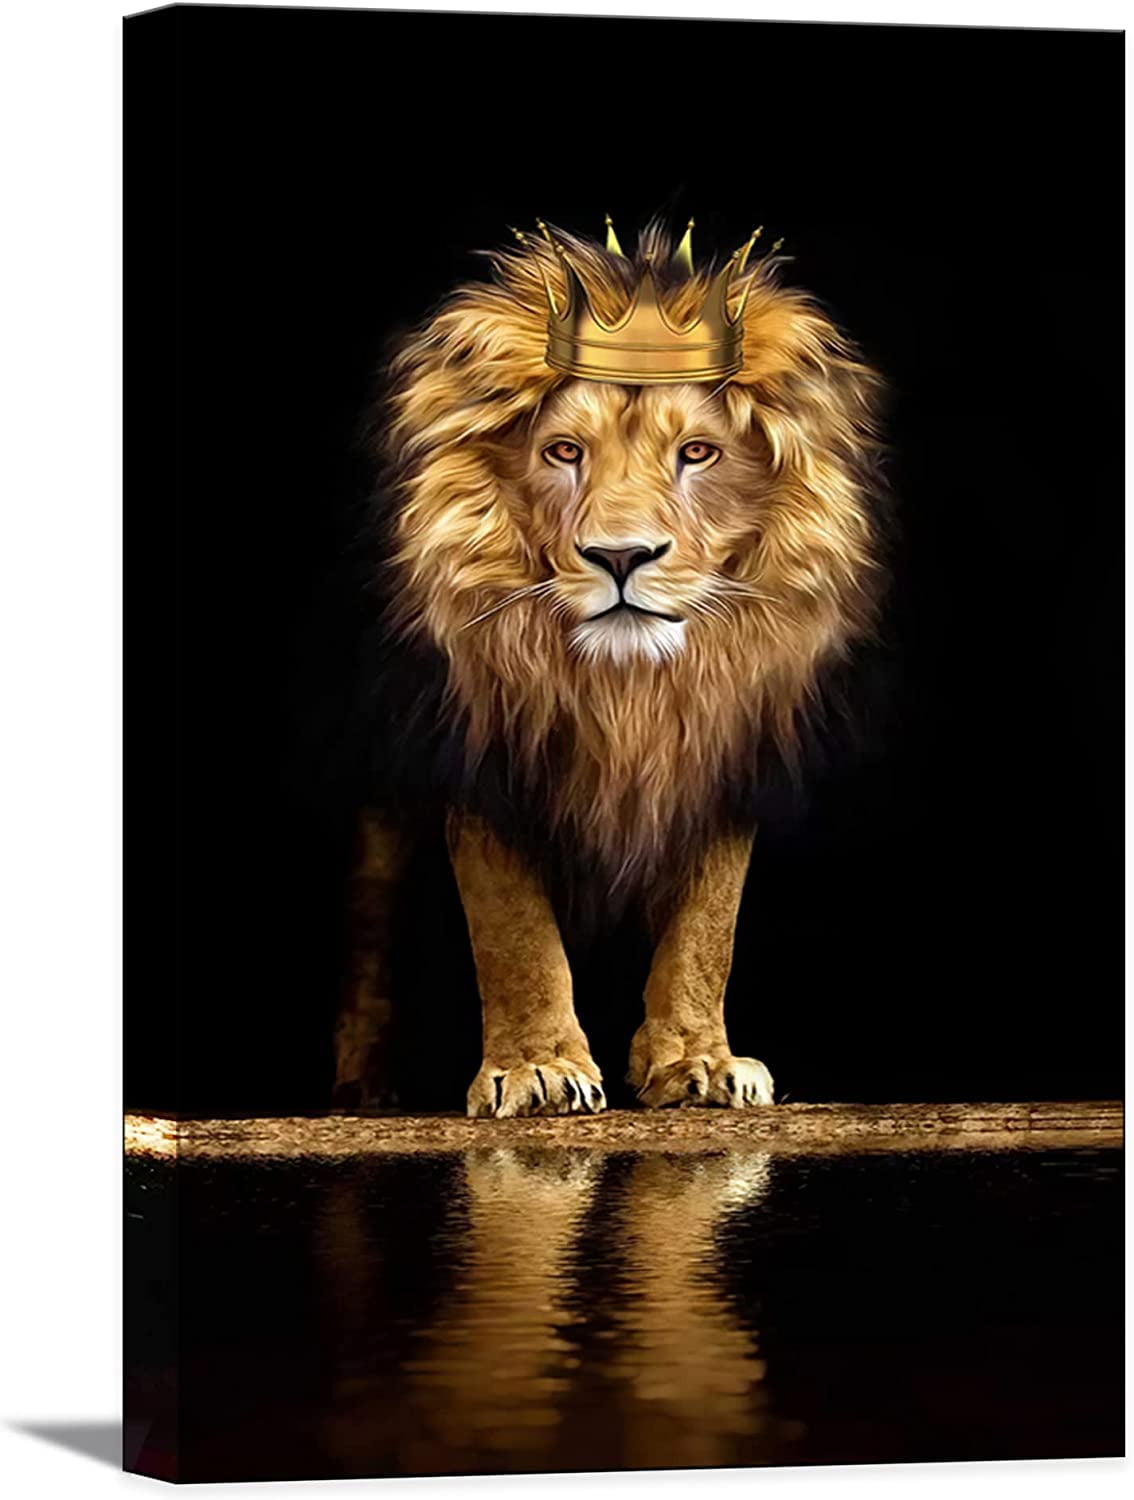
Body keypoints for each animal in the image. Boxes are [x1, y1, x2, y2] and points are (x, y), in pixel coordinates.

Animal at [333, 219, 884, 1117]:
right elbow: (512, 927)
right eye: (563, 451)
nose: (621, 557)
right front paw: (537, 1067)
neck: (627, 688)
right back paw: (362, 1089)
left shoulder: (723, 748)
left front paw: (698, 1061)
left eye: (697, 452)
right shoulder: (482, 750)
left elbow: (708, 927)